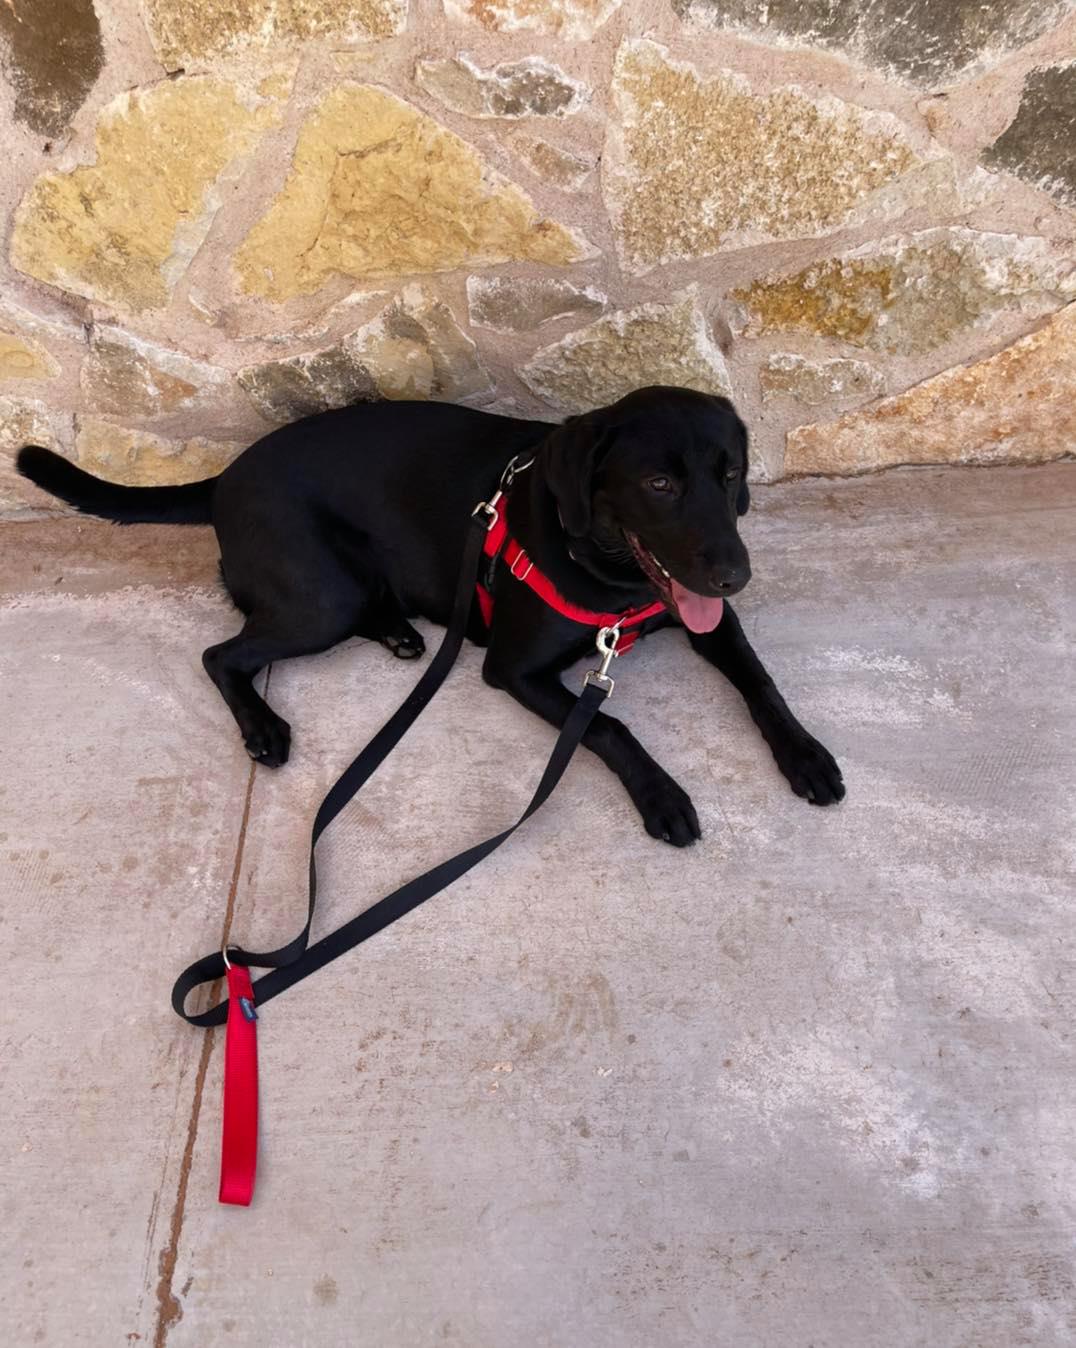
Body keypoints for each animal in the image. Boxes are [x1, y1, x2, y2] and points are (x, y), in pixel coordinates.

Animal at [17, 385, 844, 845]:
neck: (604, 571)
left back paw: (398, 632)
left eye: (730, 473)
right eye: (660, 483)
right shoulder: (514, 669)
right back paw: (264, 726)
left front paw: (806, 755)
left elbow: (760, 683)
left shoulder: (707, 622)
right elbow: (608, 724)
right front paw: (663, 794)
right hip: (322, 599)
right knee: (222, 654)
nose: (736, 574)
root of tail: (223, 477)